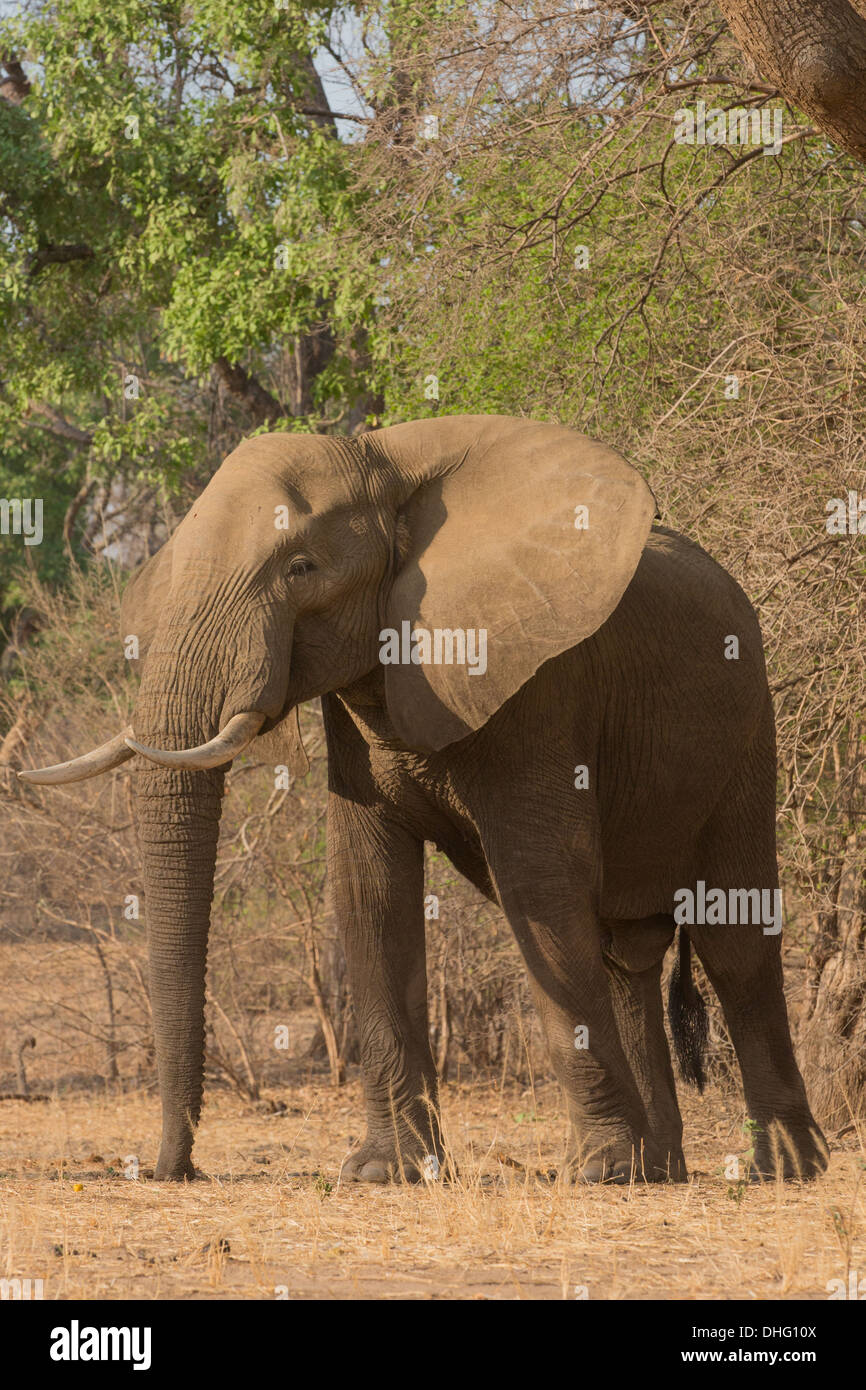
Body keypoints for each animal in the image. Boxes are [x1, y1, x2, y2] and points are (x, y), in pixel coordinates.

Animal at [23, 411, 828, 1184]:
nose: (175, 1170)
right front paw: (385, 1172)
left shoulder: (537, 688)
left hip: (747, 731)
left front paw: (598, 1172)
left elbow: (540, 886)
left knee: (732, 940)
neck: (384, 460)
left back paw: (780, 1168)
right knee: (624, 953)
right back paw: (658, 1169)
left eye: (301, 568)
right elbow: (369, 893)